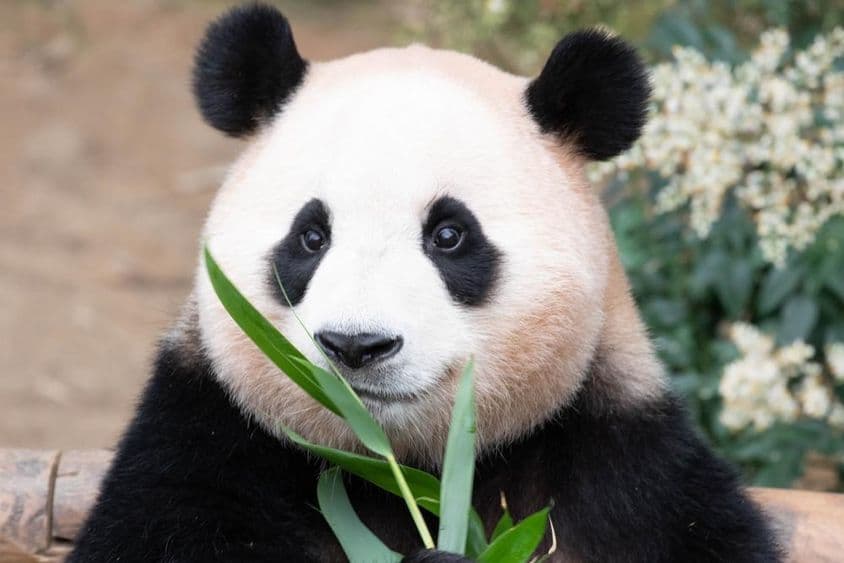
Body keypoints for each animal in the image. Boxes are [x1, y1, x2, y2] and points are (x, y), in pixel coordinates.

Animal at [70, 4, 781, 562]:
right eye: (311, 237)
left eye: (449, 236)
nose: (357, 346)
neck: (400, 468)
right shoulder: (206, 438)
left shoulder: (623, 465)